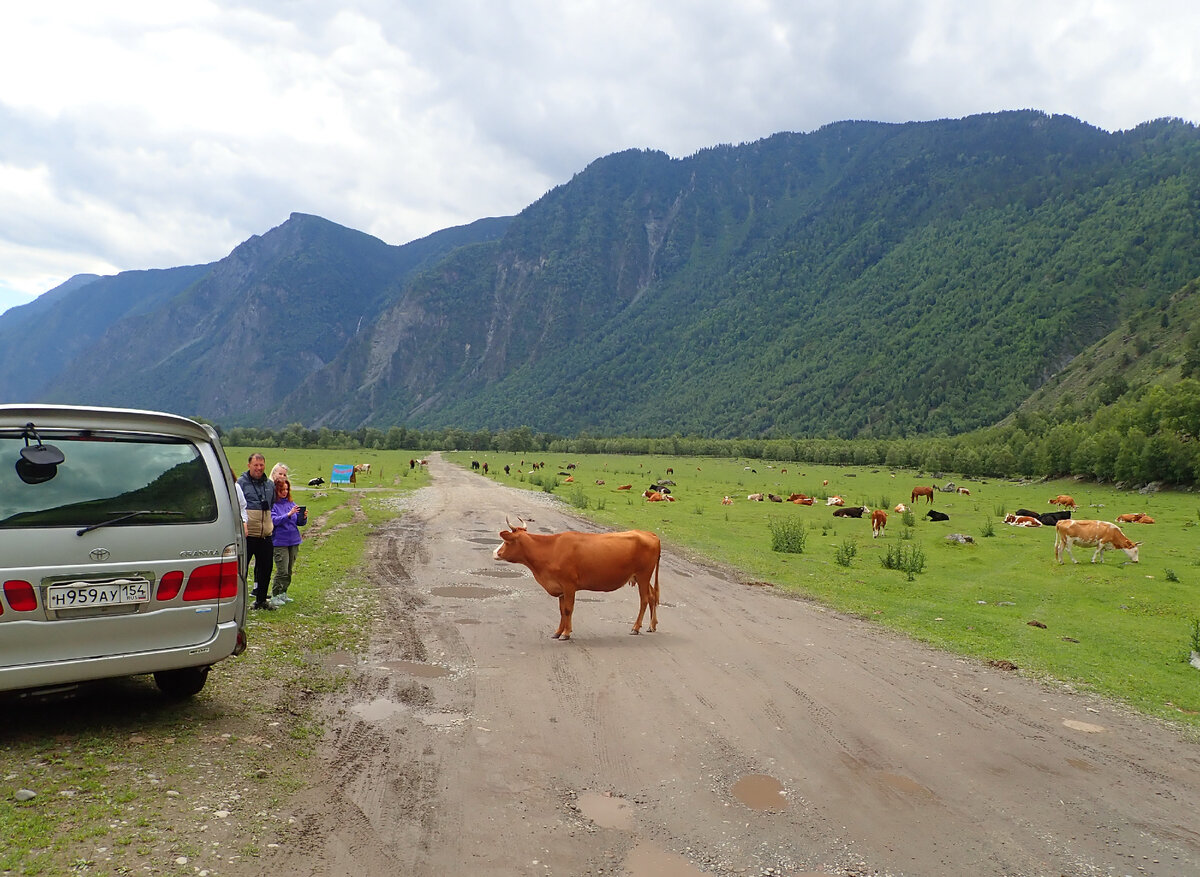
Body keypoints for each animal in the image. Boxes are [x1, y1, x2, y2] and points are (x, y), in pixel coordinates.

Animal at [496, 518, 667, 643]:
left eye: (506, 542)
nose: (495, 553)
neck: (551, 549)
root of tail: (649, 534)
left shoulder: (569, 585)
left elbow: (567, 609)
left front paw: (566, 633)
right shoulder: (560, 587)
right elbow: (561, 610)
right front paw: (558, 632)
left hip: (644, 575)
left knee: (644, 599)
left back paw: (636, 628)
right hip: (640, 577)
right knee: (652, 596)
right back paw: (651, 626)